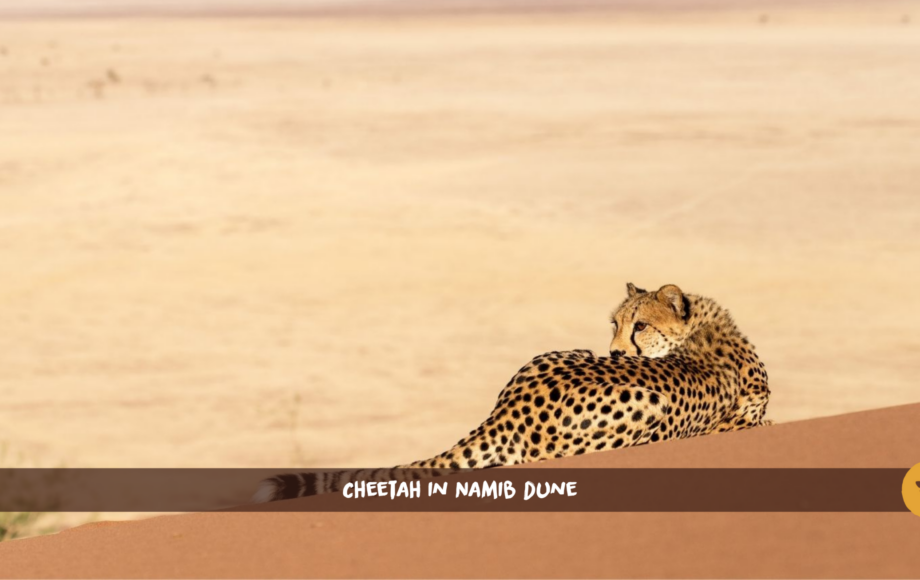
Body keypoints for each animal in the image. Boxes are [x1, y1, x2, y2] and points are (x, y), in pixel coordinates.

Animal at [253, 283, 771, 502]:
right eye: (617, 323)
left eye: (639, 325)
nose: (614, 351)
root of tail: (511, 407)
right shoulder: (745, 421)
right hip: (642, 405)